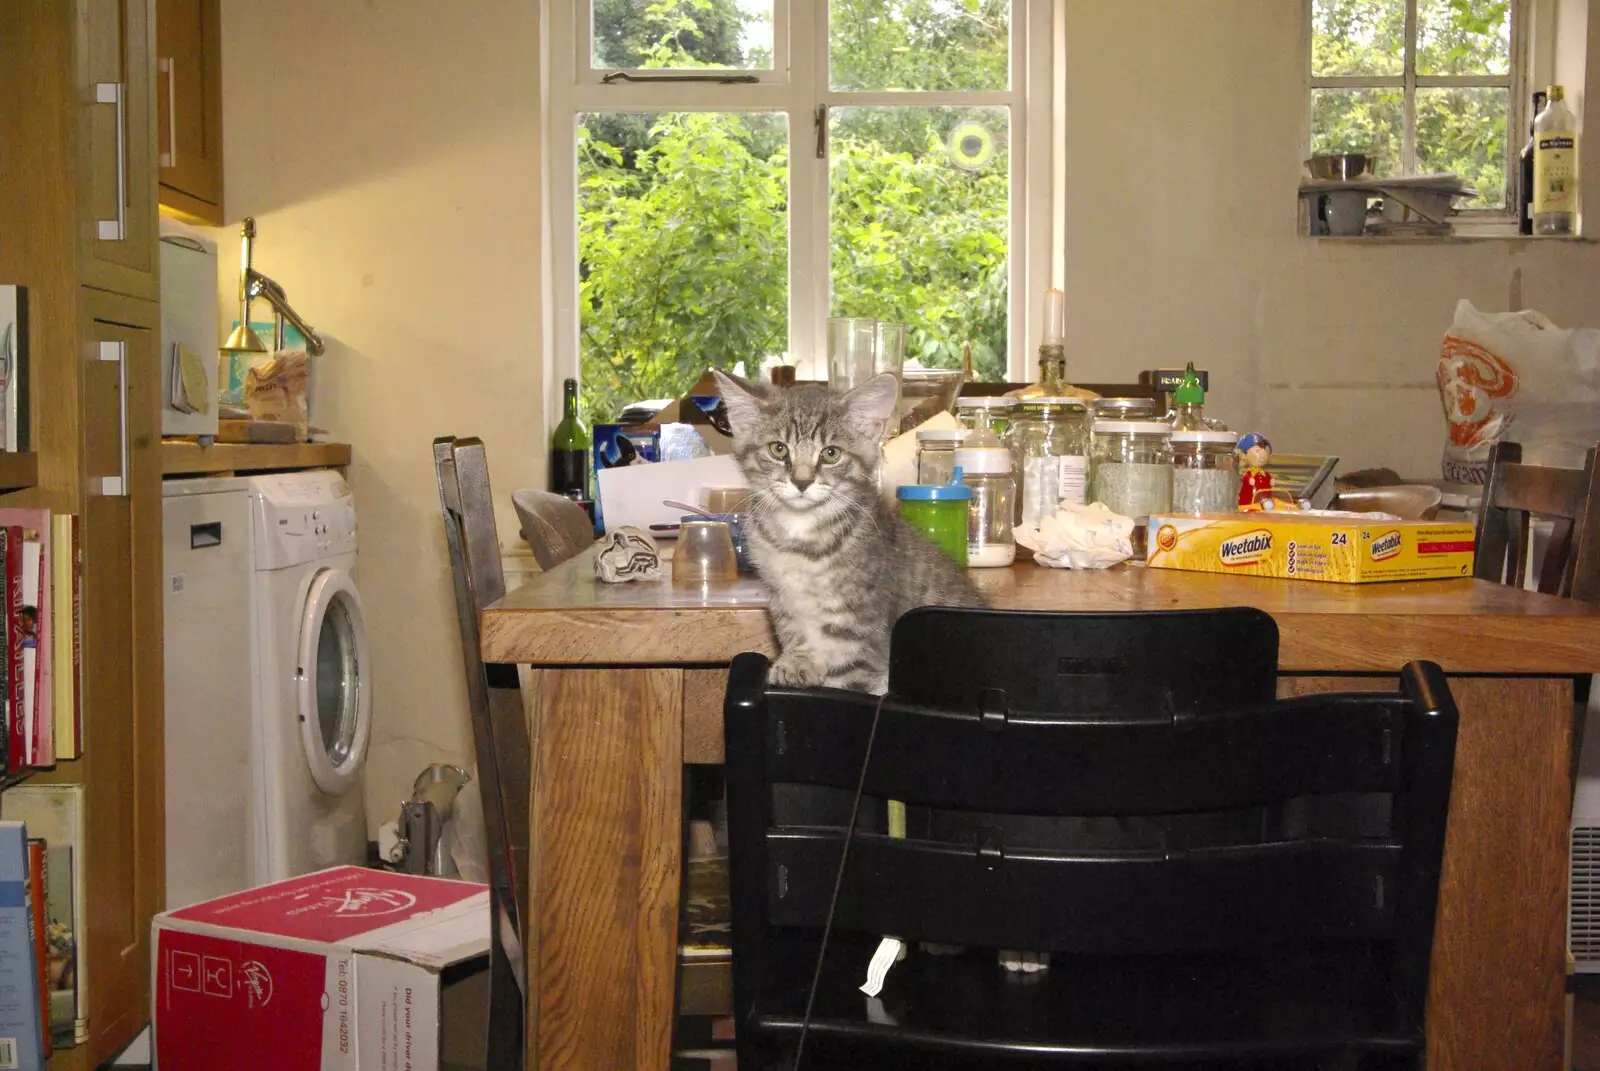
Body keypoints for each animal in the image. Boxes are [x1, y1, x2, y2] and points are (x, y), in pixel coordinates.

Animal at [716, 369, 985, 694]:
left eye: (831, 454)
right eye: (778, 449)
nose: (802, 481)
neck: (800, 536)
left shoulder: (859, 626)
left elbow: (848, 677)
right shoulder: (782, 598)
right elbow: (795, 631)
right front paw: (797, 662)